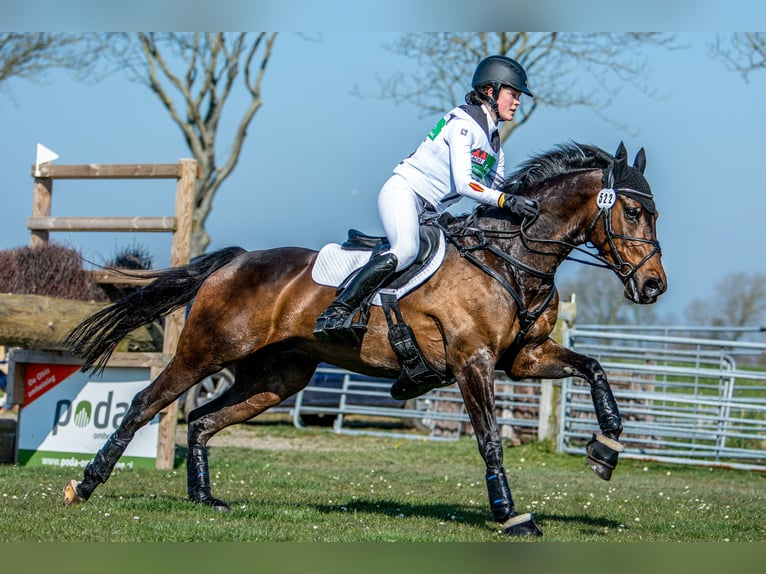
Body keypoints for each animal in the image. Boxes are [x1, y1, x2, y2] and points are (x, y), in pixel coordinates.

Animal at [63, 143, 664, 540]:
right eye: (633, 212)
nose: (654, 286)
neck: (510, 260)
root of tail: (233, 261)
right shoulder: (473, 362)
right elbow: (490, 439)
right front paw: (511, 515)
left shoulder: (524, 359)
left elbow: (594, 368)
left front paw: (606, 449)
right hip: (205, 352)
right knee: (146, 403)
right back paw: (85, 486)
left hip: (277, 376)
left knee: (203, 420)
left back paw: (205, 497)